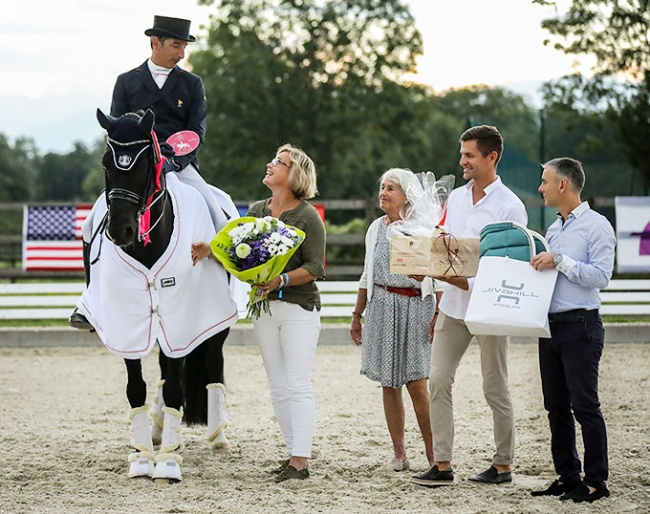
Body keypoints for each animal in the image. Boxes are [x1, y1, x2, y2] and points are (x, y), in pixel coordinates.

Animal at [78, 108, 235, 480]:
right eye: (105, 162)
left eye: (146, 162)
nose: (120, 231)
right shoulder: (127, 324)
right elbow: (137, 387)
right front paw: (141, 455)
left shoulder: (183, 317)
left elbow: (178, 385)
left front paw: (166, 462)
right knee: (165, 371)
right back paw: (159, 428)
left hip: (215, 321)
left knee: (213, 363)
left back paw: (218, 437)